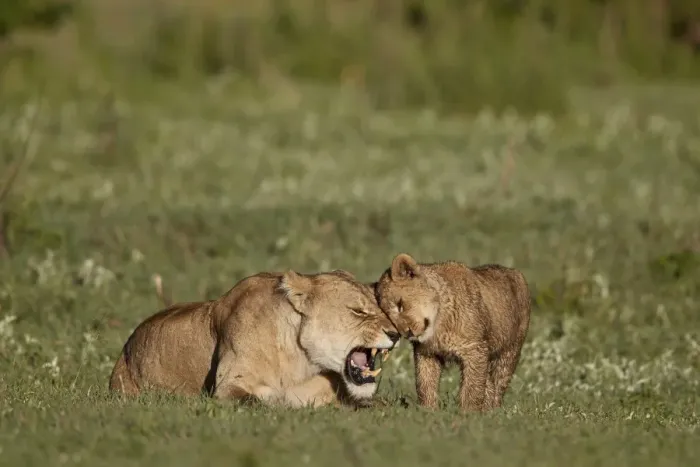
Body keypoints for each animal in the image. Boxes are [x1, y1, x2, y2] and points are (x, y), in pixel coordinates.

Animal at [109, 269, 400, 408]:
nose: (396, 334)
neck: (298, 361)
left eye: (380, 307)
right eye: (358, 311)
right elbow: (258, 403)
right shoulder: (227, 387)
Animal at [375, 253, 531, 412]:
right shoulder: (427, 353)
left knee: (498, 384)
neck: (438, 326)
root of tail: (515, 272)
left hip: (510, 352)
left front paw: (468, 413)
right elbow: (425, 384)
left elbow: (472, 388)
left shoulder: (475, 350)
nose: (408, 333)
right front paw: (428, 411)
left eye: (400, 305)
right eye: (388, 317)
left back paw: (492, 410)